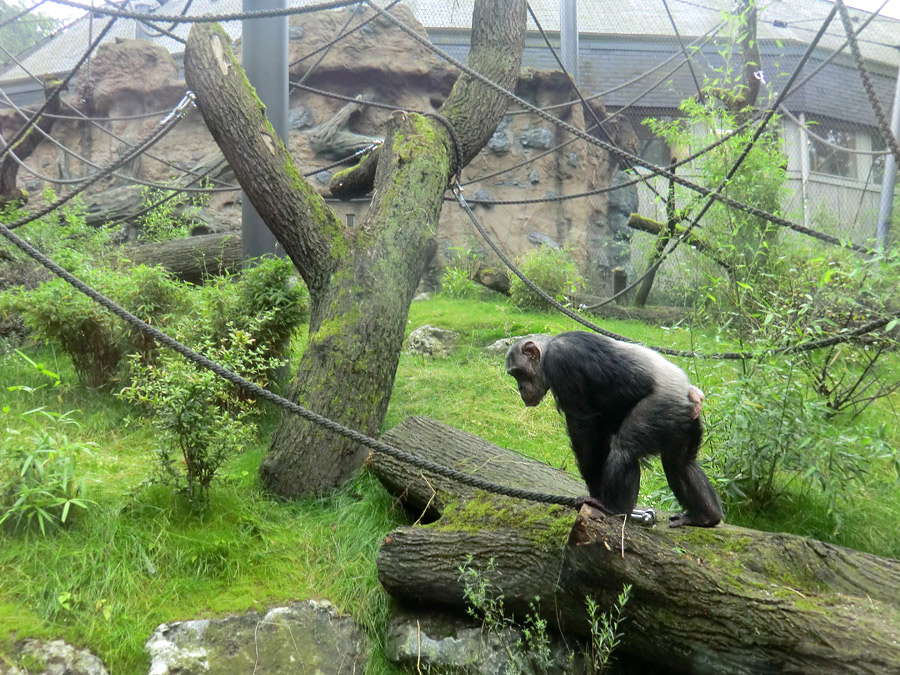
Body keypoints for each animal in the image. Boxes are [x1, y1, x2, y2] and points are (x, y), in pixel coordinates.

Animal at [506, 332, 724, 528]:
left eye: (518, 372)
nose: (520, 388)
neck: (547, 352)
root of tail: (692, 395)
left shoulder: (562, 363)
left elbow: (583, 429)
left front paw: (595, 493)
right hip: (682, 419)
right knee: (680, 463)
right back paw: (705, 516)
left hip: (661, 405)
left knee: (625, 449)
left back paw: (613, 507)